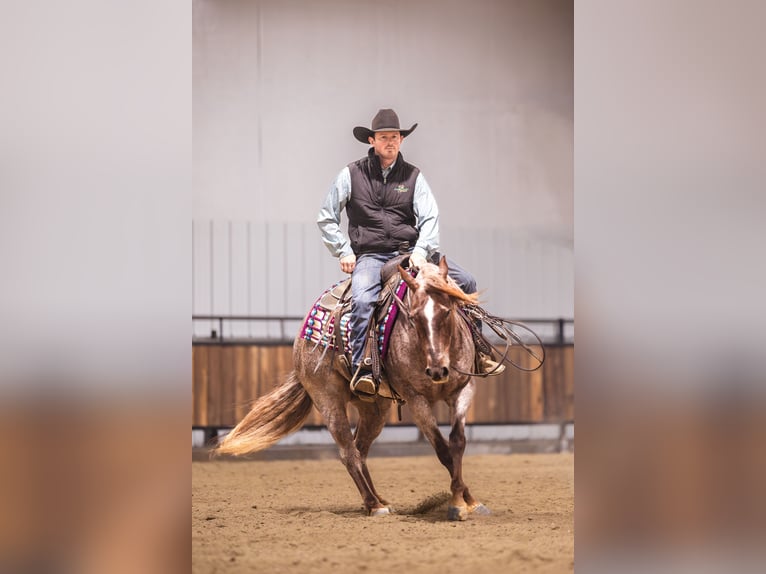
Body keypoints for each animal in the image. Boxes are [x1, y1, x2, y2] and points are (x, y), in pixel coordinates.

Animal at [215, 256, 491, 521]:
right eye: (413, 317)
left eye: (447, 311)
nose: (436, 371)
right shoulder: (416, 400)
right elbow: (443, 450)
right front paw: (457, 505)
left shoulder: (463, 389)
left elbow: (457, 442)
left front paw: (470, 501)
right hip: (328, 400)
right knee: (348, 452)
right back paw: (374, 505)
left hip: (374, 408)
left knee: (360, 448)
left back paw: (379, 500)